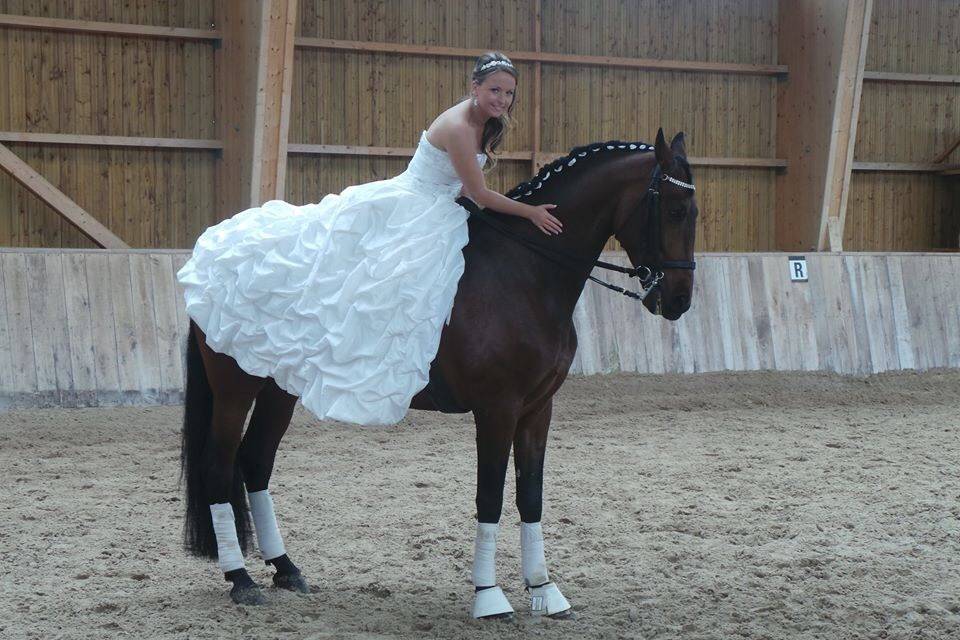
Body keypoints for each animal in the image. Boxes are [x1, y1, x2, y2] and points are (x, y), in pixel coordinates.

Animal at [178, 129, 696, 616]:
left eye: (695, 212)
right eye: (673, 211)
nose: (678, 301)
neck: (525, 273)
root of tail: (209, 254)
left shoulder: (537, 410)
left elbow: (530, 496)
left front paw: (544, 590)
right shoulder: (496, 410)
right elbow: (490, 496)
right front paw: (489, 596)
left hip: (278, 388)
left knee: (255, 462)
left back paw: (286, 570)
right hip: (235, 390)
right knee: (219, 465)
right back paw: (241, 579)